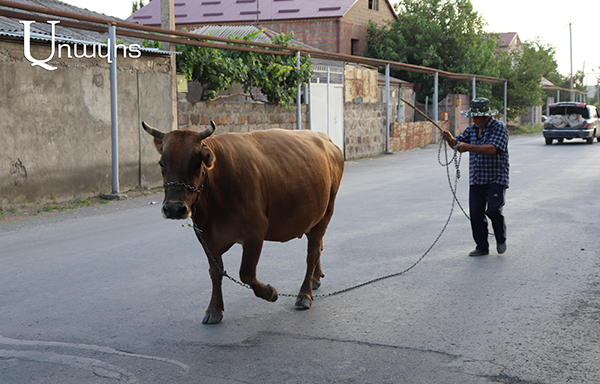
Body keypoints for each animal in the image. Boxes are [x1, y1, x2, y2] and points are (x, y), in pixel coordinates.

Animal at [142, 121, 344, 324]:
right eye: (162, 163)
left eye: (196, 163)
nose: (174, 209)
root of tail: (326, 140)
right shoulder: (205, 237)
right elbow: (215, 272)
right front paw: (214, 309)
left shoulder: (255, 233)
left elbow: (246, 274)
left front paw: (270, 292)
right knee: (317, 246)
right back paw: (315, 278)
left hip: (327, 210)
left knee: (312, 252)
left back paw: (304, 294)